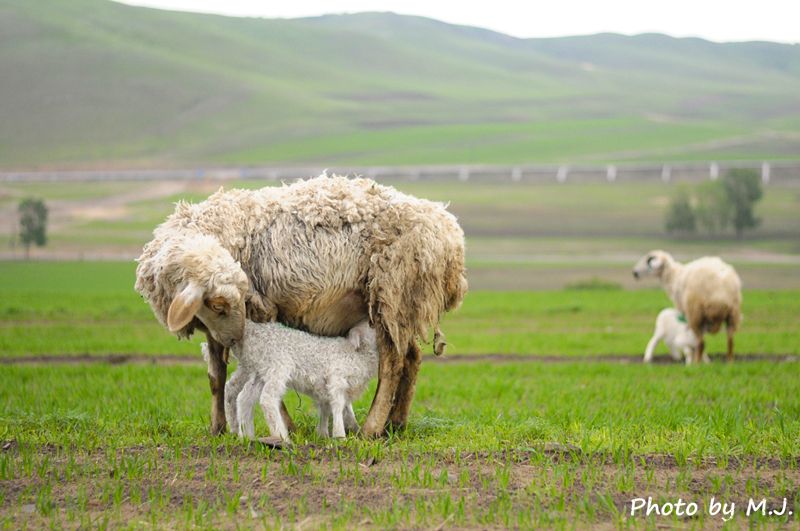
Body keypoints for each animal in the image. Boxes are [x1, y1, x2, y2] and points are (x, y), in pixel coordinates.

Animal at [200, 320, 376, 440]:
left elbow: (326, 408)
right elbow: (338, 406)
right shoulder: (336, 379)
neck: (356, 353)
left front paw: (323, 434)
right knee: (267, 398)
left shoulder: (324, 387)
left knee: (244, 397)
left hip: (260, 370)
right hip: (278, 365)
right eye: (370, 325)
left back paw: (247, 436)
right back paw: (282, 437)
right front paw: (339, 436)